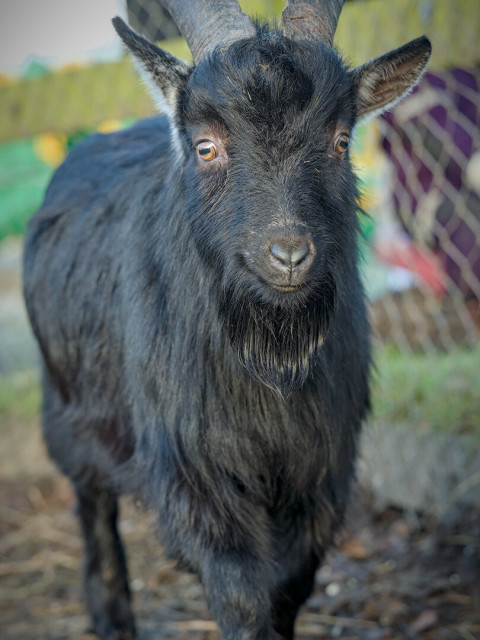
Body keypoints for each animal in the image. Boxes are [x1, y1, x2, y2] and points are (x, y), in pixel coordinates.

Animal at [23, 1, 431, 638]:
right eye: (206, 146)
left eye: (342, 141)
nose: (288, 254)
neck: (267, 359)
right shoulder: (193, 467)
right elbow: (239, 589)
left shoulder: (321, 470)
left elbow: (289, 586)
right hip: (66, 409)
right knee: (93, 508)